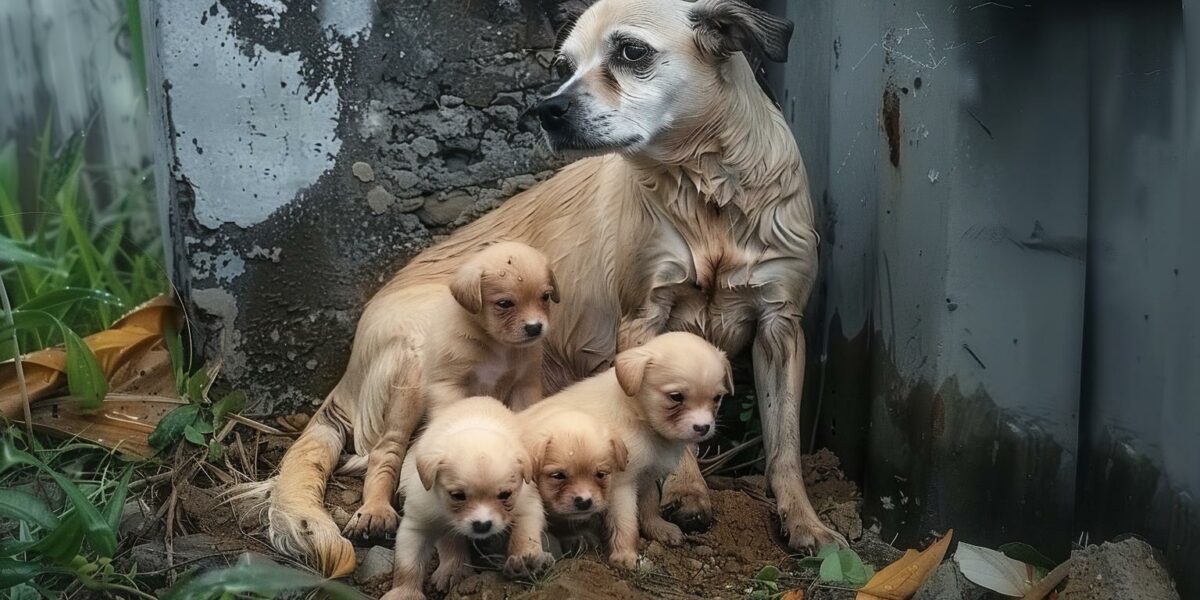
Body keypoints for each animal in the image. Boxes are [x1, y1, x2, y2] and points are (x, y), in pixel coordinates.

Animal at [343, 241, 556, 542]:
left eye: (546, 297)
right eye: (504, 303)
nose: (535, 328)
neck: (496, 346)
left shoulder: (525, 386)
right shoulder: (449, 385)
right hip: (408, 396)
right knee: (386, 450)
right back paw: (375, 510)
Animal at [381, 393, 549, 600]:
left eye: (505, 495)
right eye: (457, 496)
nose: (482, 526)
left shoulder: (527, 503)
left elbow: (525, 534)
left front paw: (524, 560)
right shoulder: (419, 521)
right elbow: (408, 564)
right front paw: (404, 593)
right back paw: (453, 569)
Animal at [518, 331, 729, 568]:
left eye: (717, 398)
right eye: (676, 397)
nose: (703, 428)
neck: (637, 415)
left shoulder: (647, 475)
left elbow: (649, 505)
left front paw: (658, 529)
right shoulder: (622, 484)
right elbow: (626, 522)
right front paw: (625, 556)